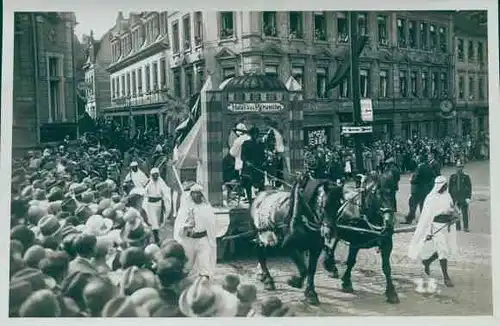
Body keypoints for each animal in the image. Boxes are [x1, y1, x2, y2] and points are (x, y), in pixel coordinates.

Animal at [250, 176, 344, 306]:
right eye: (323, 205)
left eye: (338, 205)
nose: (329, 232)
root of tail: (259, 196)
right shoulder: (288, 247)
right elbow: (304, 270)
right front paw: (294, 282)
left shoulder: (315, 249)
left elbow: (311, 270)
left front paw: (311, 293)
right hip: (261, 235)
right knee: (260, 252)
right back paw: (268, 280)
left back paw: (264, 276)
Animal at [322, 172, 400, 304]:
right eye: (377, 192)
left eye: (394, 191)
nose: (389, 221)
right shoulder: (355, 242)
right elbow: (351, 262)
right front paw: (347, 283)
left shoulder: (387, 242)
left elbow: (386, 268)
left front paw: (391, 292)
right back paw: (330, 264)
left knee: (333, 242)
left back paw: (331, 266)